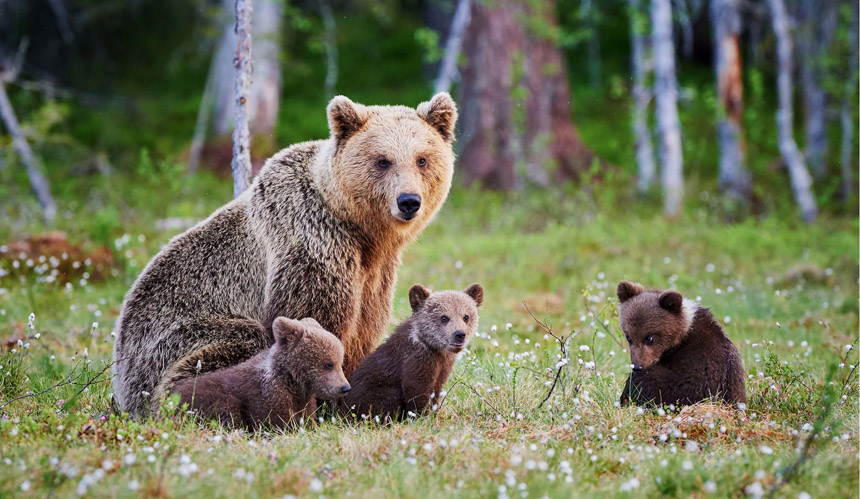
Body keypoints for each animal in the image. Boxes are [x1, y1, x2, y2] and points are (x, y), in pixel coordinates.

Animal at [112, 93, 458, 417]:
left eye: (422, 159)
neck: (360, 231)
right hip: (173, 340)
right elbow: (315, 321)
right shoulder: (312, 244)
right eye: (382, 160)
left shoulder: (375, 273)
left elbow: (364, 327)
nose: (408, 201)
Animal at [171, 317, 349, 430]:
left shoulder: (303, 400)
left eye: (340, 362)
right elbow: (273, 420)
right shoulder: (267, 394)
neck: (294, 383)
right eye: (328, 364)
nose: (345, 387)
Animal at [342, 283, 483, 421]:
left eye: (466, 317)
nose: (460, 334)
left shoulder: (443, 366)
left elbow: (436, 390)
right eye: (444, 317)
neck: (435, 349)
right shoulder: (417, 360)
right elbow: (416, 390)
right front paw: (422, 417)